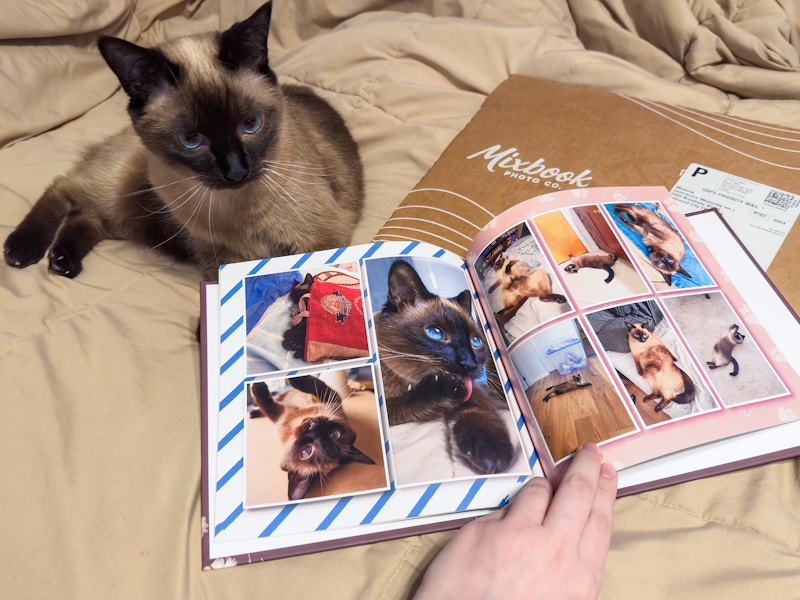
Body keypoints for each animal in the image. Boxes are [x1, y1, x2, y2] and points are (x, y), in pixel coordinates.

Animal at [3, 1, 364, 282]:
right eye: (191, 140)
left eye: (251, 125)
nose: (236, 172)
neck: (236, 208)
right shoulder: (217, 255)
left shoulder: (319, 238)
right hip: (120, 195)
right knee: (63, 188)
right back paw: (22, 251)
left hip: (131, 219)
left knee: (89, 216)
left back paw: (62, 262)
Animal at [378, 260, 516, 476]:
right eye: (435, 333)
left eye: (475, 341)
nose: (469, 364)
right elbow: (411, 399)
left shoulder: (475, 393)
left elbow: (476, 409)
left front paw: (491, 452)